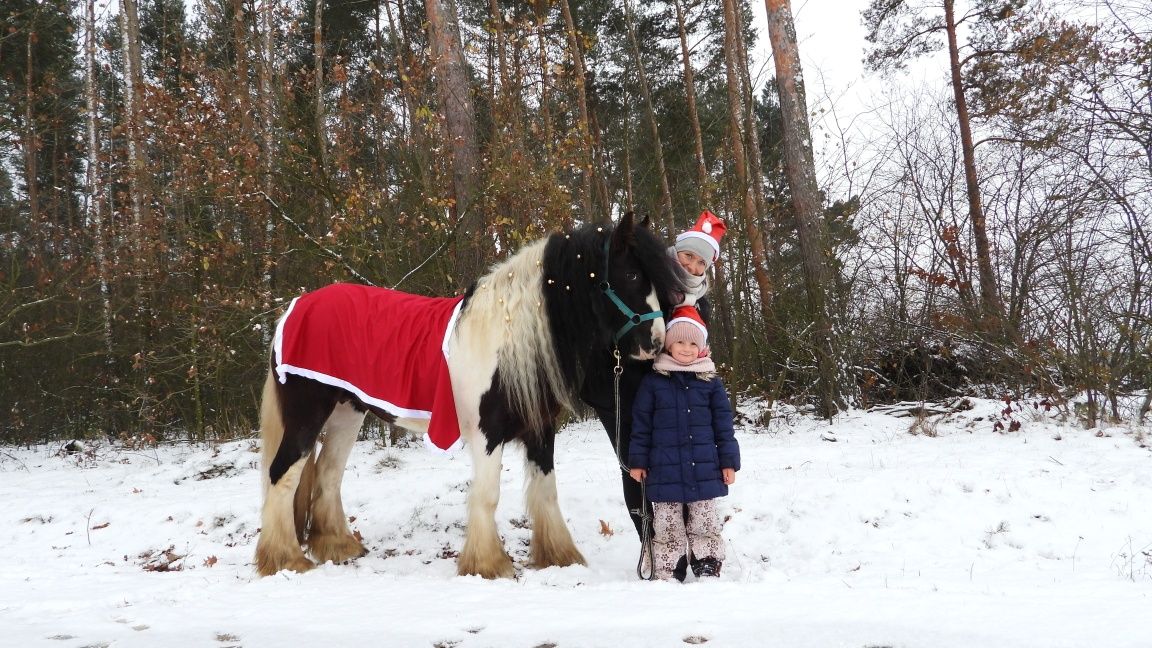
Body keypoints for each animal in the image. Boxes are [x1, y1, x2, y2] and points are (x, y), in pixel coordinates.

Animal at [254, 214, 681, 576]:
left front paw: (560, 556)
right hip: (308, 416)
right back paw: (285, 560)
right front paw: (488, 564)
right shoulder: (486, 434)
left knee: (327, 475)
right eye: (631, 274)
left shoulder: (540, 431)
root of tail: (292, 310)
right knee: (282, 475)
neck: (506, 339)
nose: (656, 343)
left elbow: (546, 493)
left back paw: (339, 547)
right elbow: (487, 495)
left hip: (347, 413)